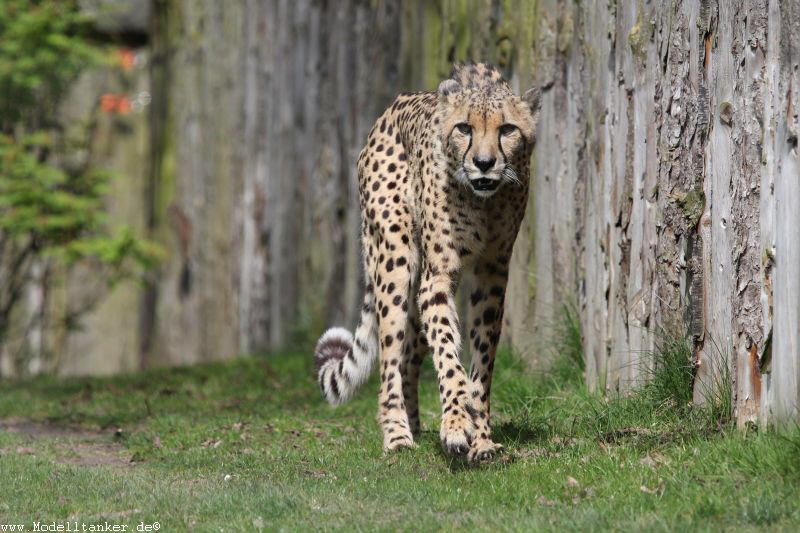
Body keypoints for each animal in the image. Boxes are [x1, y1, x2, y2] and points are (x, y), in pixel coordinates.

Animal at [316, 63, 540, 462]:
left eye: (507, 129)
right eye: (464, 128)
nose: (484, 164)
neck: (484, 201)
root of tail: (391, 107)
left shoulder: (492, 274)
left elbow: (481, 362)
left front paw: (480, 436)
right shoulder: (437, 278)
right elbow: (449, 357)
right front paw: (455, 426)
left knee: (408, 355)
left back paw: (417, 426)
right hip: (395, 262)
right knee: (390, 359)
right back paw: (398, 435)